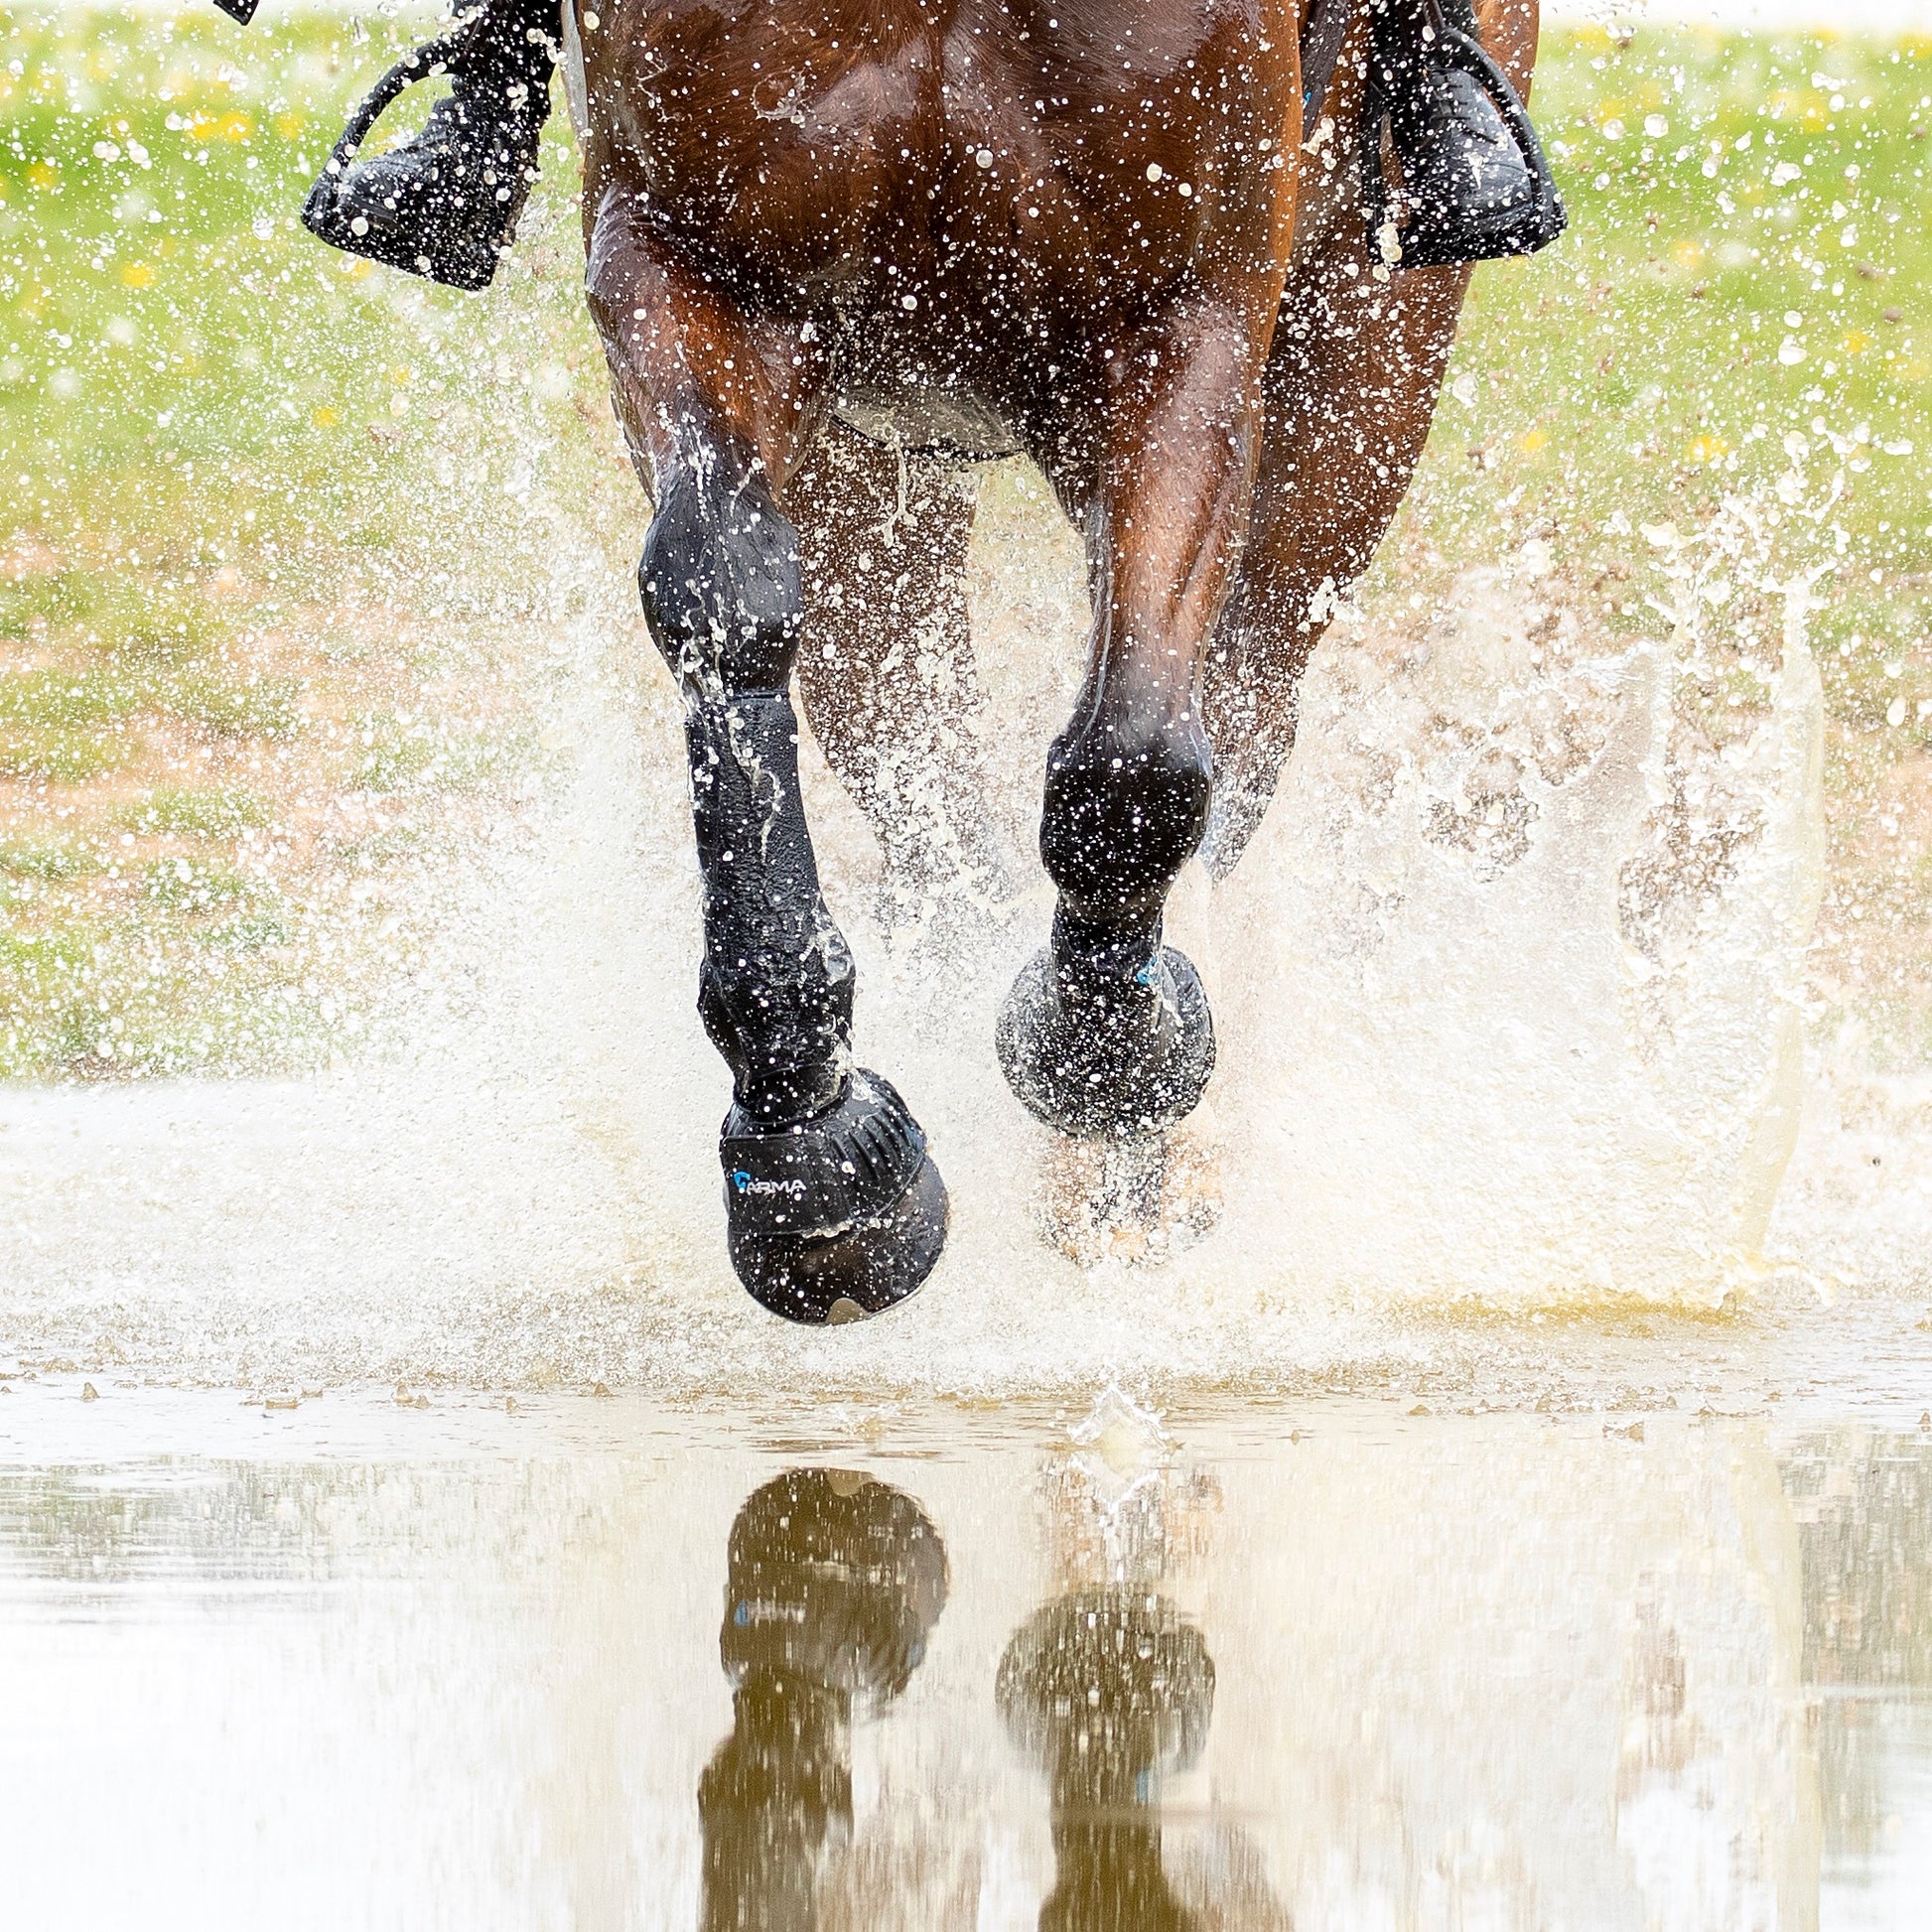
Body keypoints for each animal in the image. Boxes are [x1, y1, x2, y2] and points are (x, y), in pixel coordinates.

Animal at [568, 0, 1544, 1323]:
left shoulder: (1178, 325)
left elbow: (1131, 758)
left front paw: (1106, 1071)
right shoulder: (686, 258)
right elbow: (721, 593)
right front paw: (813, 1150)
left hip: (1361, 364)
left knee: (1243, 707)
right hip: (876, 464)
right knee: (915, 761)